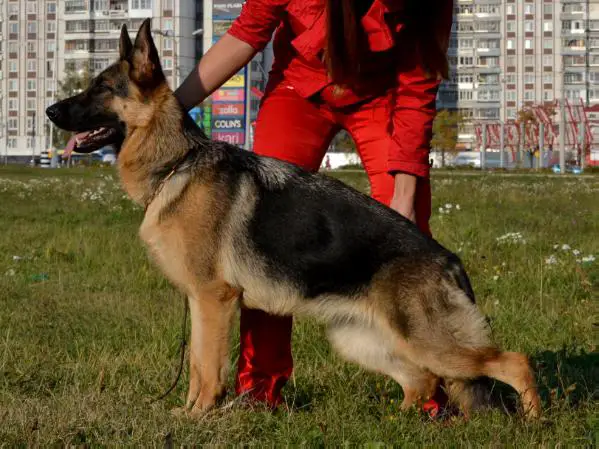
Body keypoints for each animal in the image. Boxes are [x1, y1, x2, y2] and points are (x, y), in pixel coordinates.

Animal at [47, 20, 544, 420]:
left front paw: (197, 417)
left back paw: (534, 423)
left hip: (428, 341)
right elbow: (194, 366)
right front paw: (187, 411)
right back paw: (398, 421)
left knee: (514, 361)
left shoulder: (212, 299)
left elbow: (206, 367)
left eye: (102, 88)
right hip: (361, 339)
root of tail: (449, 261)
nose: (50, 111)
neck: (176, 161)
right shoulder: (200, 302)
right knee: (421, 380)